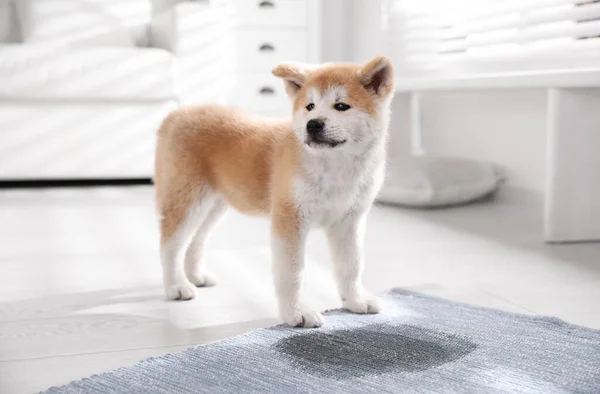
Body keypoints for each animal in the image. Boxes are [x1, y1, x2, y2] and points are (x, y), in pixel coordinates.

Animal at [156, 54, 394, 326]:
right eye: (310, 106)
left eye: (341, 106)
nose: (313, 124)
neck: (336, 167)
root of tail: (177, 113)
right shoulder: (290, 217)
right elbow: (292, 272)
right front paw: (296, 312)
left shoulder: (349, 222)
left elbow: (351, 266)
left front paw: (355, 300)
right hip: (188, 200)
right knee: (171, 245)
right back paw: (176, 285)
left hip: (214, 205)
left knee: (196, 240)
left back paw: (196, 275)